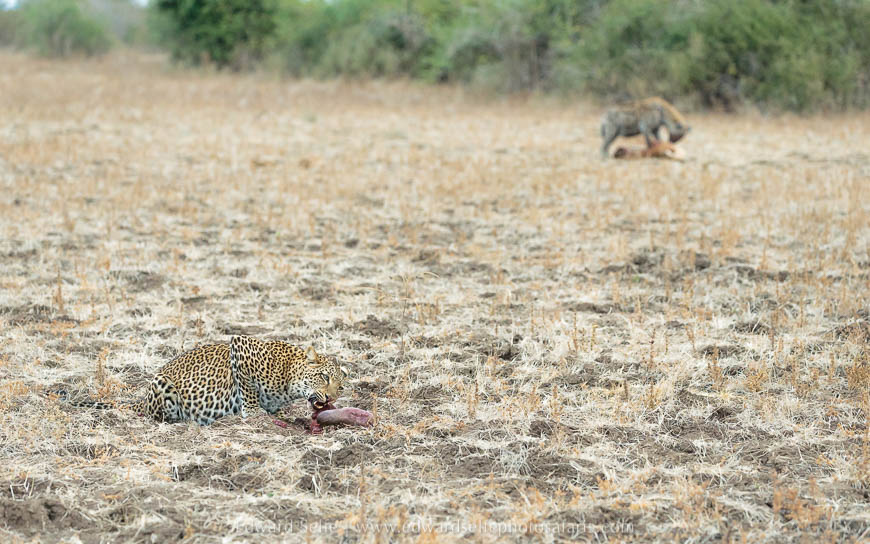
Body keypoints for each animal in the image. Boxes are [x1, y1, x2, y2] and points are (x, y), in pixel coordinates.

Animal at [53, 336, 348, 429]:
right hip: (162, 384)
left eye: (340, 386)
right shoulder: (240, 347)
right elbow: (248, 391)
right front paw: (253, 413)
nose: (331, 398)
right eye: (324, 377)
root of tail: (142, 397)